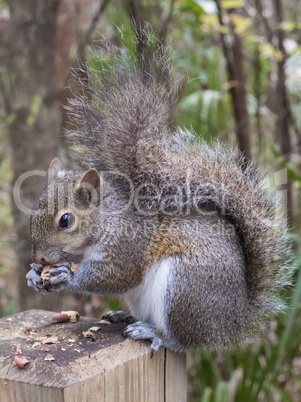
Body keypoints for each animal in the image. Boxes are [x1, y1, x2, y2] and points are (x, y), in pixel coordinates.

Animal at [26, 41, 290, 354]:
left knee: (184, 341)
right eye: (34, 211)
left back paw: (156, 334)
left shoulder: (129, 243)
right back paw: (123, 316)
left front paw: (65, 275)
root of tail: (233, 321)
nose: (40, 258)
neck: (105, 219)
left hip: (185, 288)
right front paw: (34, 274)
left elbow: (118, 274)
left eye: (66, 220)